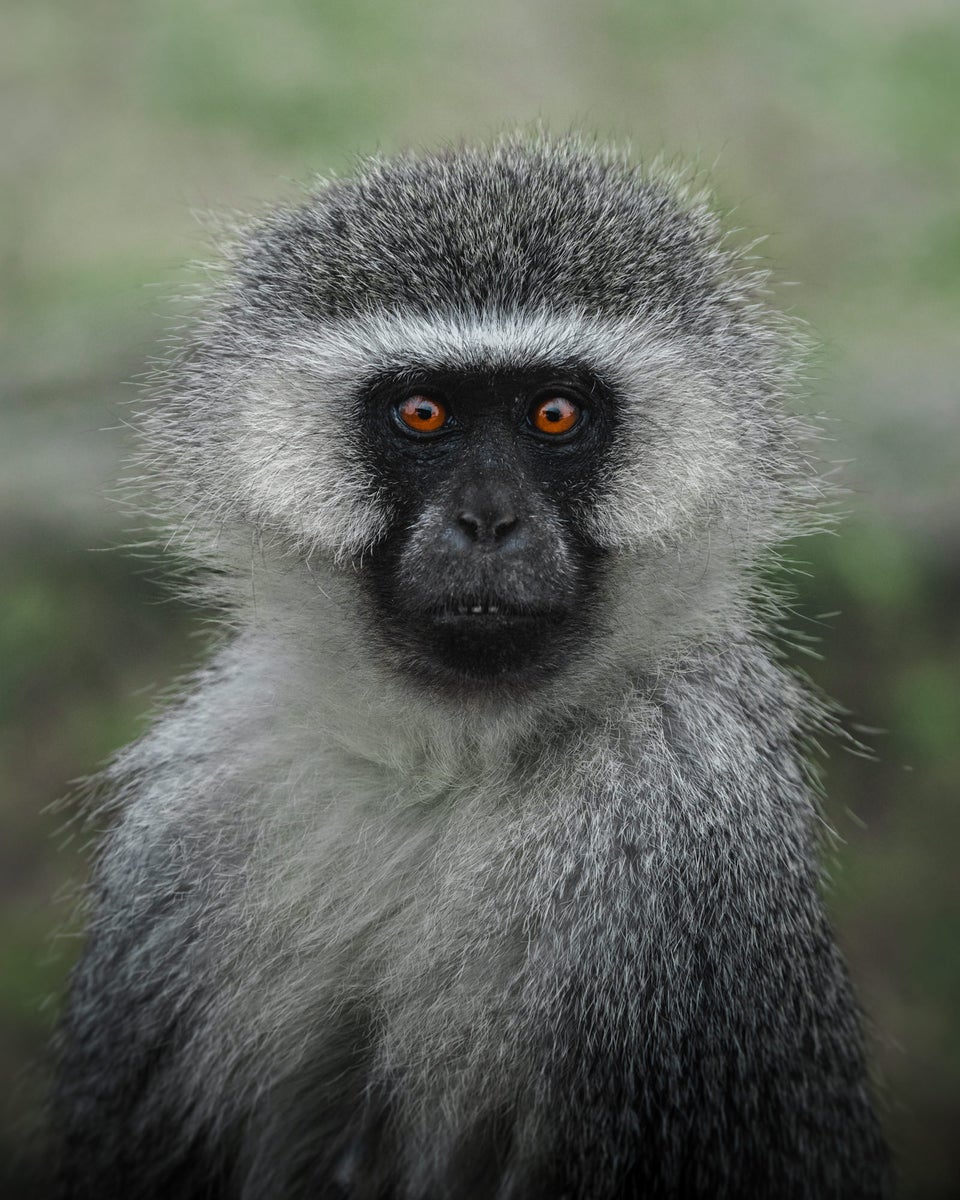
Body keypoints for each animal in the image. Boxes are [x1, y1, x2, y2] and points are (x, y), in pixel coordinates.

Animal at [53, 134, 892, 1199]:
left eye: (554, 415)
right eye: (422, 413)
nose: (488, 521)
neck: (449, 759)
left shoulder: (685, 837)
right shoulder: (194, 820)